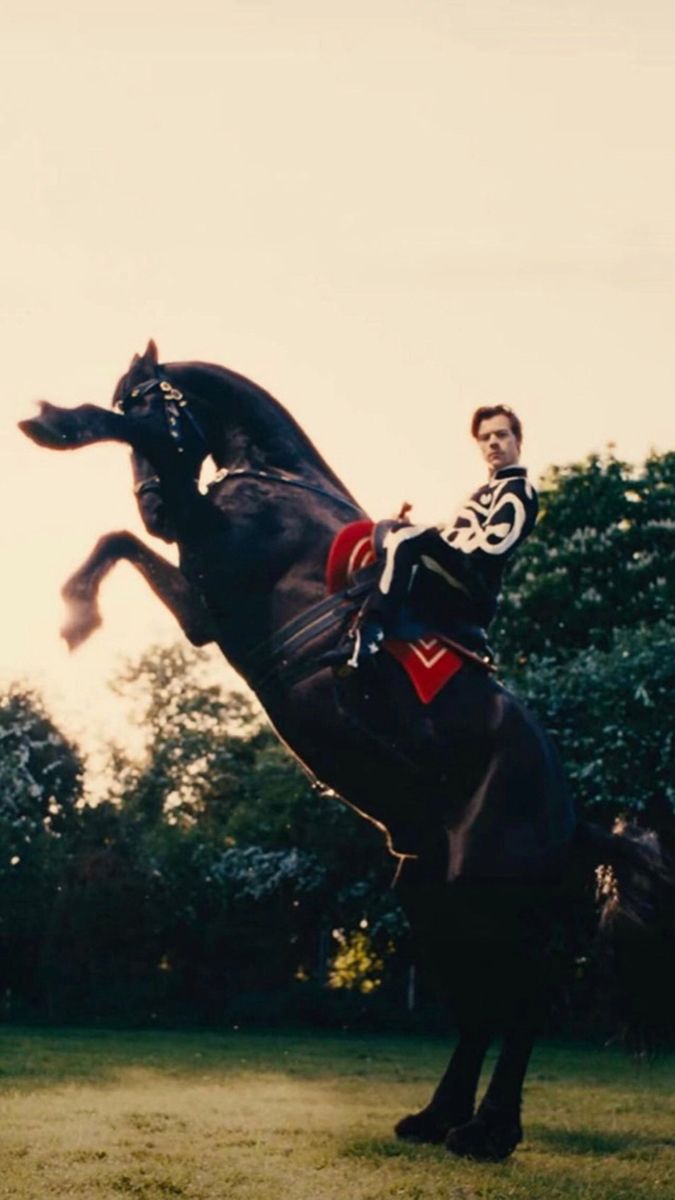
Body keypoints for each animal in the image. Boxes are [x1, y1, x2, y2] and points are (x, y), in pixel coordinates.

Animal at [18, 345, 667, 1161]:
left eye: (153, 404)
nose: (156, 507)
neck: (277, 481)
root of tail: (574, 819)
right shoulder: (204, 609)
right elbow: (118, 543)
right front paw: (78, 607)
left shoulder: (218, 549)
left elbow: (129, 514)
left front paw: (59, 433)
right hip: (432, 893)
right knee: (479, 1006)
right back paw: (438, 1119)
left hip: (493, 893)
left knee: (521, 1003)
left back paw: (488, 1132)